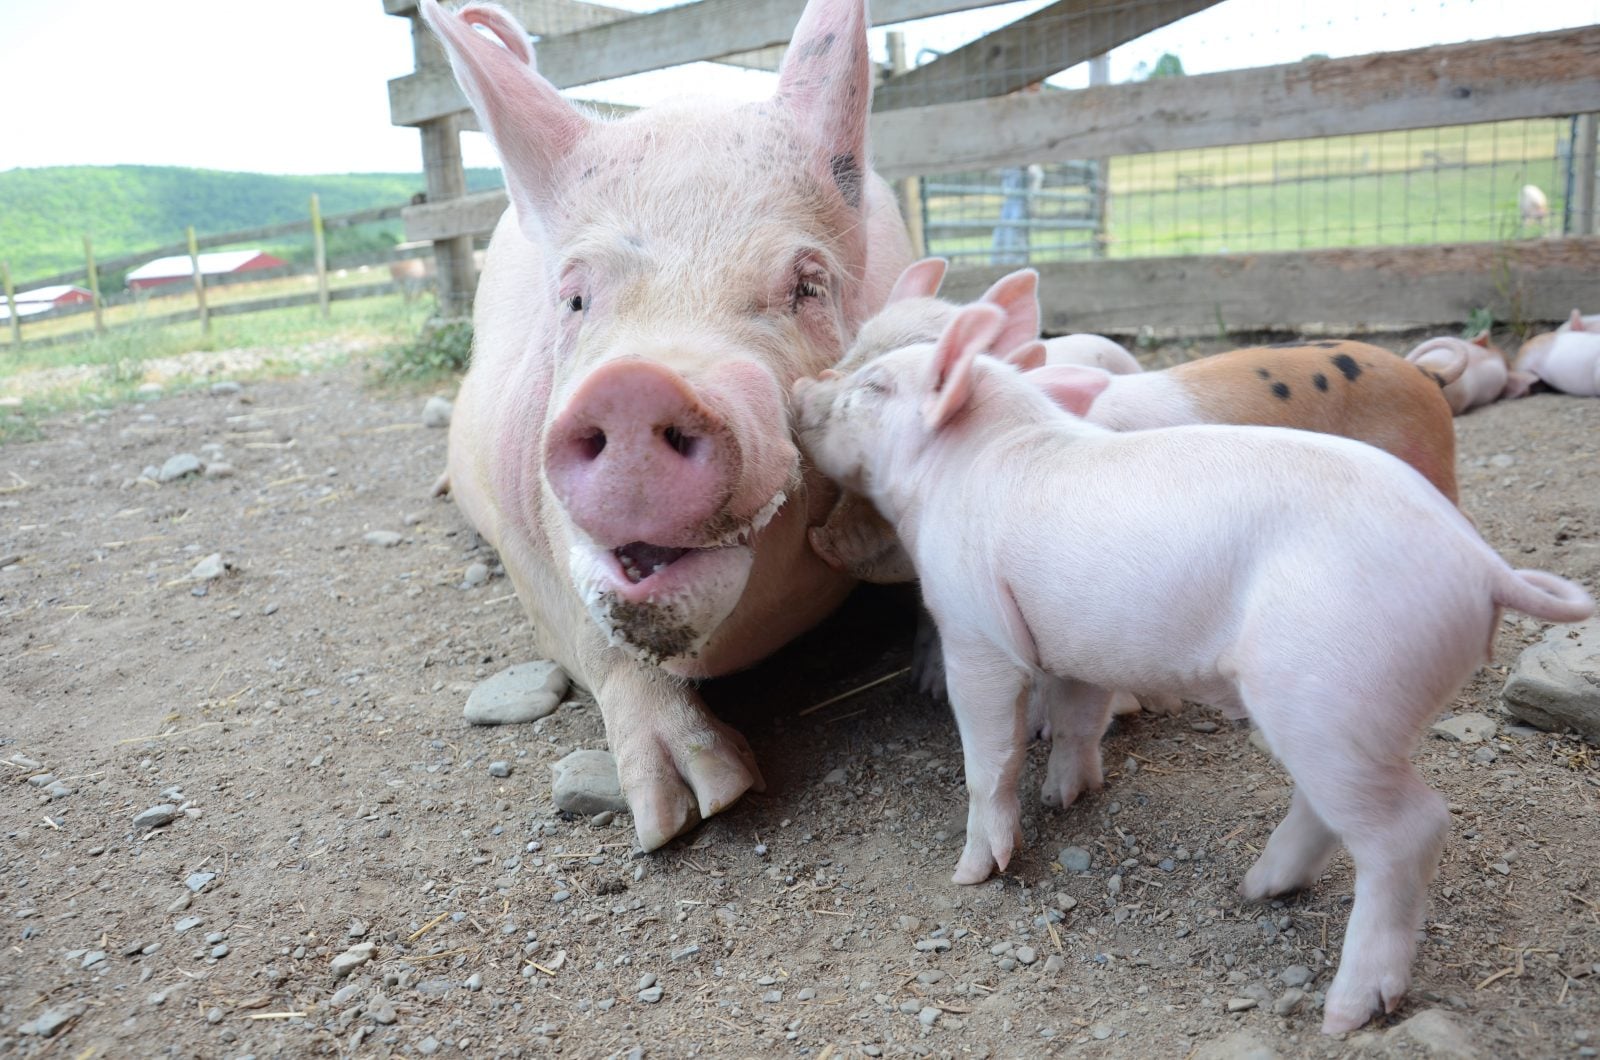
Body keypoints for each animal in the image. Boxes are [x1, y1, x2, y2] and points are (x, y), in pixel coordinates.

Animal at [422, 0, 912, 851]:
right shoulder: (523, 549)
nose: (634, 387)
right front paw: (690, 808)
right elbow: (597, 642)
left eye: (810, 286)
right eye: (575, 299)